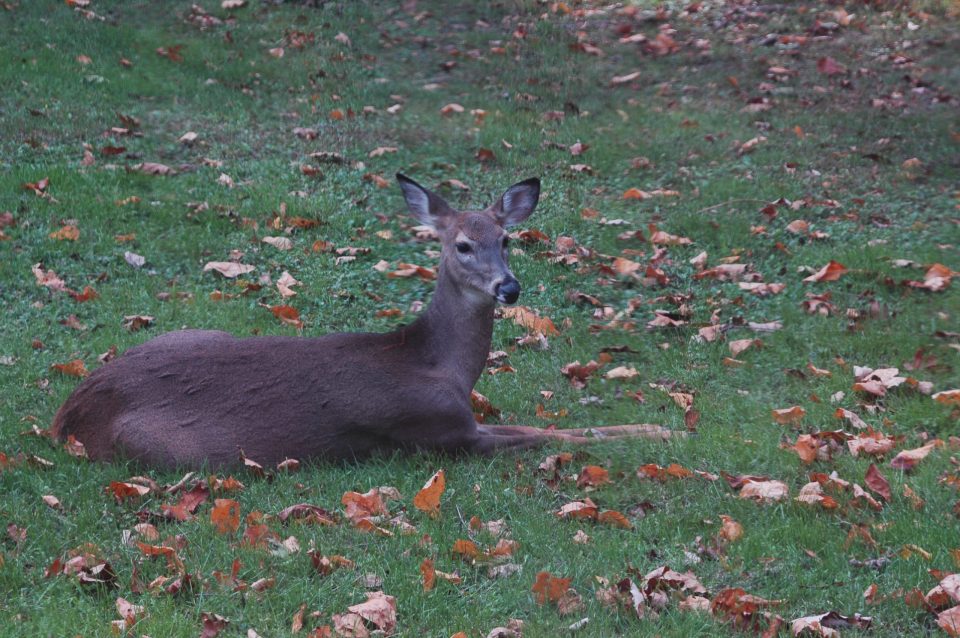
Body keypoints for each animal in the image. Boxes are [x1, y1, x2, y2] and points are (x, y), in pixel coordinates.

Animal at [52, 175, 676, 470]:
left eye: (507, 239)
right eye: (463, 244)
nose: (509, 287)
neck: (440, 365)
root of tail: (68, 414)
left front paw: (654, 428)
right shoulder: (442, 434)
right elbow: (549, 434)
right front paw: (663, 432)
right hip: (164, 446)